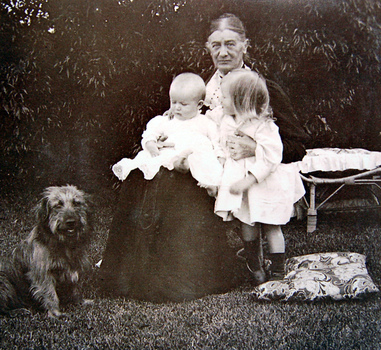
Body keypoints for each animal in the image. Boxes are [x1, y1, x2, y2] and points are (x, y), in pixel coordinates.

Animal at [0, 186, 91, 318]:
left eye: (76, 203)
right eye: (58, 205)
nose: (71, 222)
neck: (63, 243)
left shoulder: (74, 268)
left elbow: (76, 288)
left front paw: (80, 301)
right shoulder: (43, 274)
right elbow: (50, 294)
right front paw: (56, 313)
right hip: (4, 283)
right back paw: (18, 311)